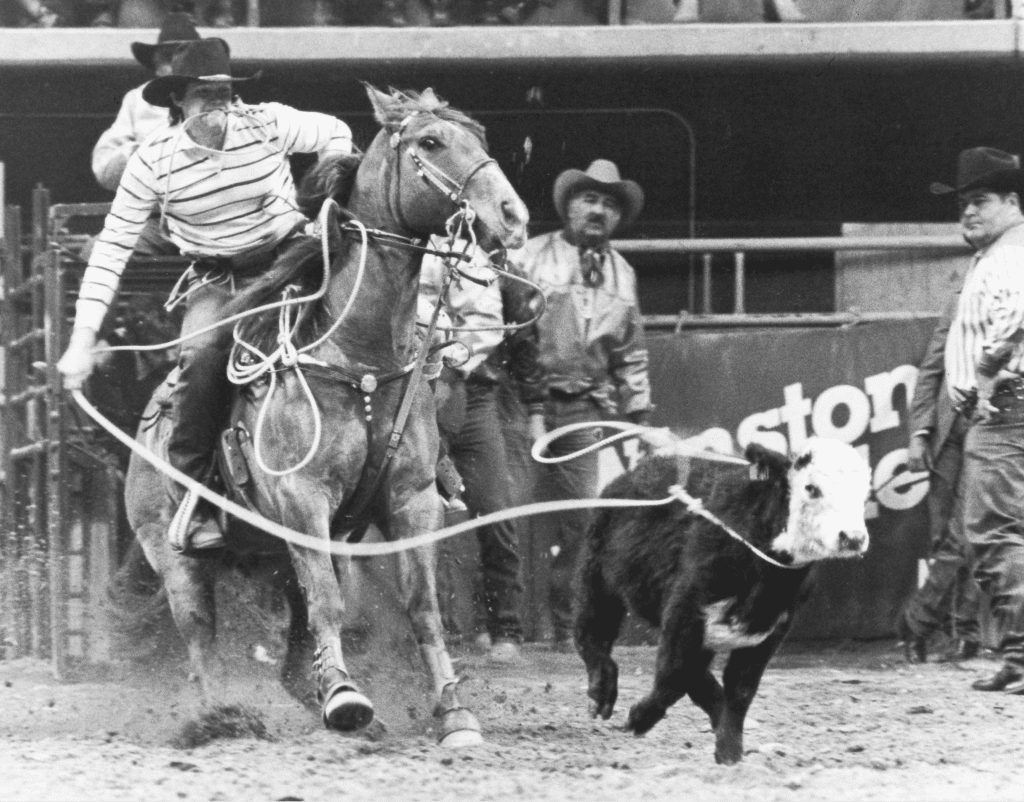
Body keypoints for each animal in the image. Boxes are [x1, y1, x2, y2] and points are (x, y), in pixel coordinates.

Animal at [574, 436, 871, 765]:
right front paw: (639, 718)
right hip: (598, 578)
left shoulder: (770, 630)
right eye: (811, 488)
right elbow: (673, 675)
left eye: (865, 490)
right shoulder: (685, 612)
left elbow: (739, 689)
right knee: (591, 634)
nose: (853, 538)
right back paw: (601, 693)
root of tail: (628, 477)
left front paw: (729, 750)